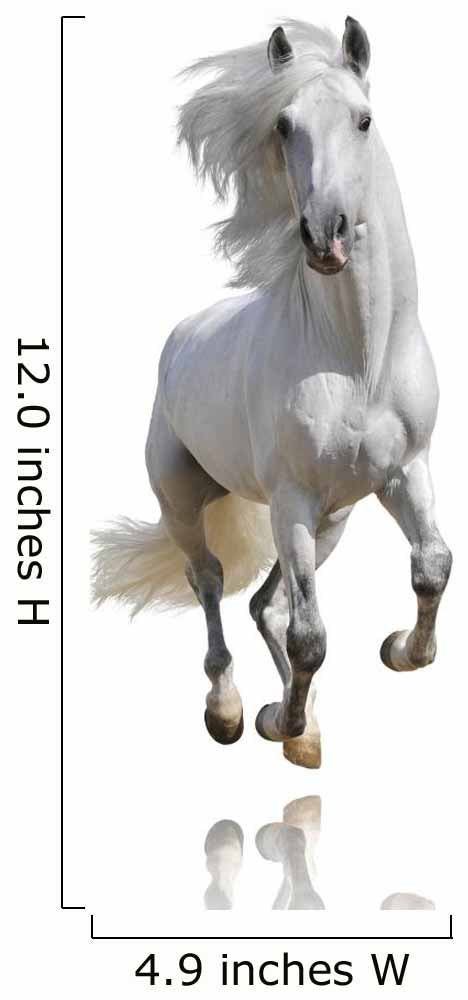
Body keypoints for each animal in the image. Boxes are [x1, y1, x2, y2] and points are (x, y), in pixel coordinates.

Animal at [92, 17, 452, 769]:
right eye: (284, 125)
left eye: (364, 119)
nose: (325, 237)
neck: (357, 360)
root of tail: (182, 336)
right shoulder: (292, 499)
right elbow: (310, 637)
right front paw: (273, 720)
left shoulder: (405, 471)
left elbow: (432, 566)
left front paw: (398, 653)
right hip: (186, 502)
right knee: (211, 584)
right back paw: (231, 713)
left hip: (333, 521)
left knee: (266, 604)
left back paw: (300, 728)